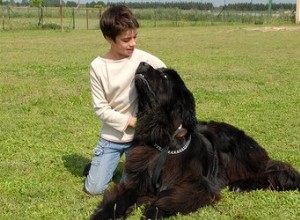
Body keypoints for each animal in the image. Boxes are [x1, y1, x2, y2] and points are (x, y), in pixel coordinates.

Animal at [91, 62, 300, 220]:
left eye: (164, 76)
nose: (142, 63)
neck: (163, 138)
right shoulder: (138, 180)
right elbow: (119, 198)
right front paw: (103, 214)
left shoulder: (198, 185)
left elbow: (168, 197)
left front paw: (152, 212)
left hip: (233, 153)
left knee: (267, 174)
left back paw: (241, 185)